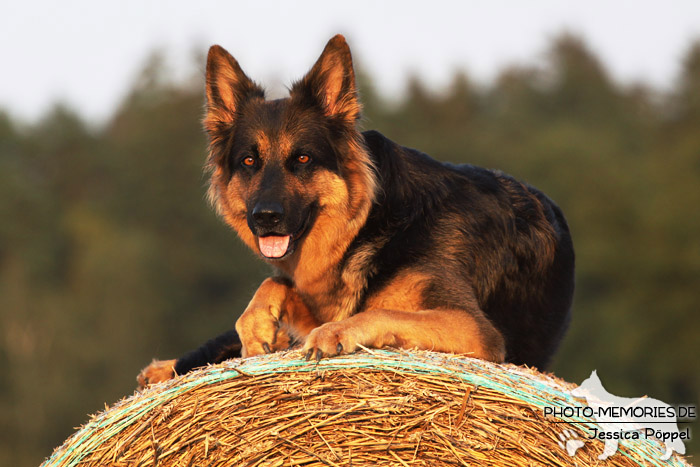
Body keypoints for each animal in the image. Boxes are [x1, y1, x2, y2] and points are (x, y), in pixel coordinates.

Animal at [137, 34, 576, 388]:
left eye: (303, 159)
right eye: (249, 162)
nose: (264, 218)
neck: (375, 223)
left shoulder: (473, 328)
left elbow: (382, 312)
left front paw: (334, 333)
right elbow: (270, 287)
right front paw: (259, 326)